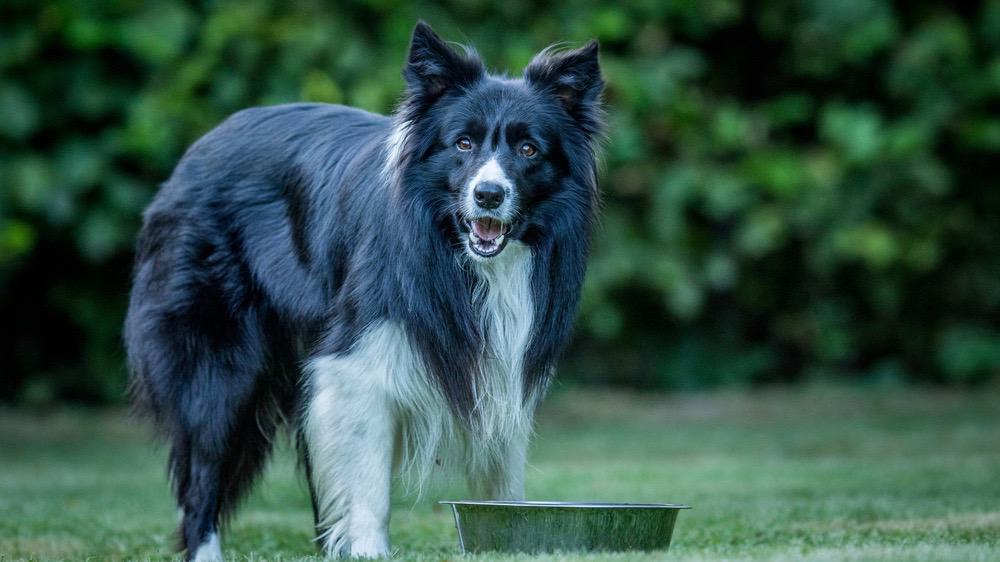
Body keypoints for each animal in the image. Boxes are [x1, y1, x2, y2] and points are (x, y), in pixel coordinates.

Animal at [122, 19, 604, 556]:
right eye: (462, 143)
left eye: (528, 149)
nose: (488, 195)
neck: (463, 257)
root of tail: (194, 152)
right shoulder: (356, 360)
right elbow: (368, 480)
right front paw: (370, 549)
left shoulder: (504, 361)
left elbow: (502, 475)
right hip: (216, 356)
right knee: (205, 458)